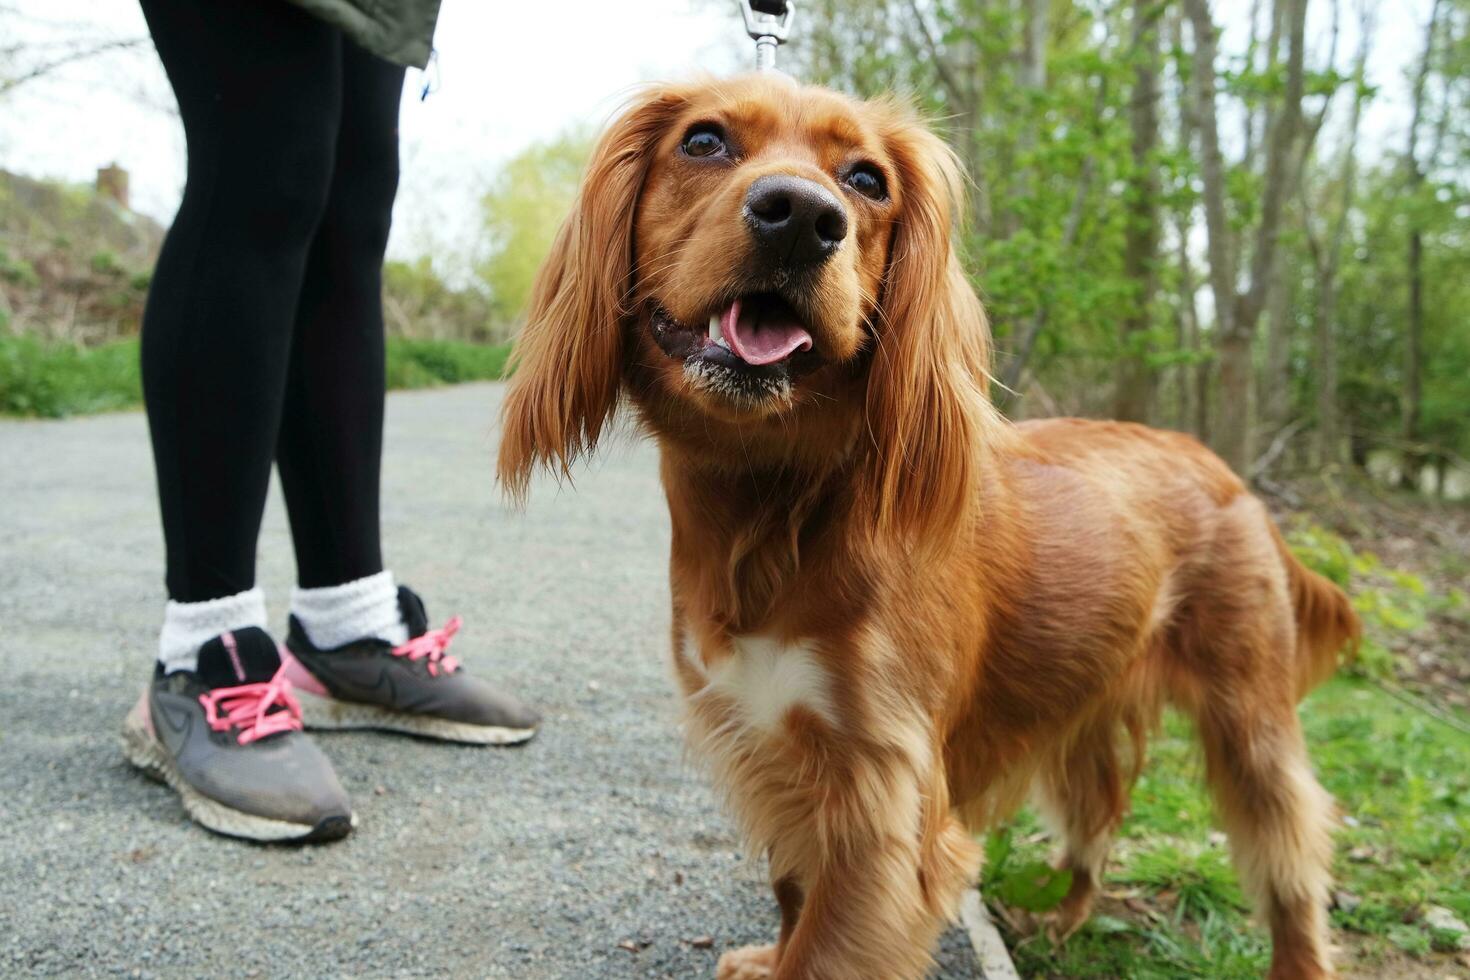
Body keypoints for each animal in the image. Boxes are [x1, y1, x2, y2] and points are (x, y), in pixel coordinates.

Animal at [499, 72, 1358, 975]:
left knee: (1291, 859)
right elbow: (792, 888)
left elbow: (823, 947)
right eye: (703, 141)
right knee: (1096, 810)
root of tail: (1225, 470)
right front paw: (771, 953)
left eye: (867, 180)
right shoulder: (775, 750)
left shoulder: (885, 804)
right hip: (1087, 691)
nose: (802, 218)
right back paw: (1065, 917)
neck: (775, 508)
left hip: (1249, 717)